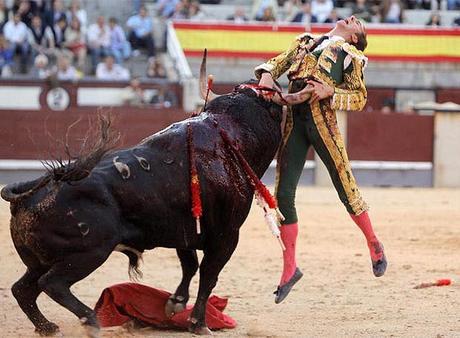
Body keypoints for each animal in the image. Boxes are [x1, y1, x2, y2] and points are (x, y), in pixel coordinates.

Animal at [0, 81, 284, 332]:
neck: (232, 132)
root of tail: (31, 192)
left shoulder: (185, 231)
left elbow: (190, 265)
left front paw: (175, 304)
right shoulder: (226, 235)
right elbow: (207, 274)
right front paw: (198, 324)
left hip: (40, 260)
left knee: (23, 289)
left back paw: (47, 327)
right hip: (89, 253)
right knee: (52, 284)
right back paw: (91, 321)